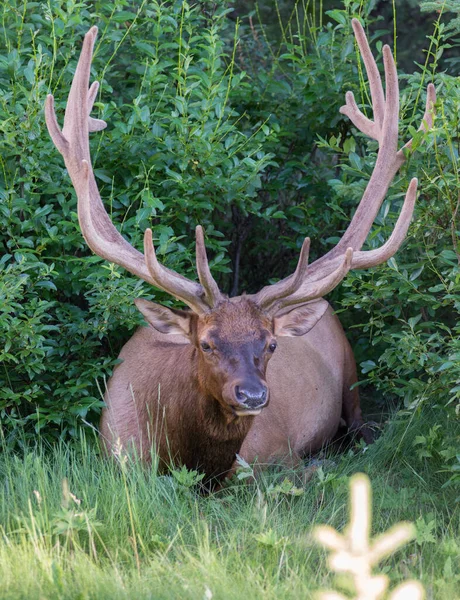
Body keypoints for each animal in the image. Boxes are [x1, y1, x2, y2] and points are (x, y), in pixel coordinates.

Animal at [45, 19, 434, 488]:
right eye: (206, 344)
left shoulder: (275, 453)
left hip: (352, 376)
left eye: (271, 344)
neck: (192, 458)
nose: (252, 395)